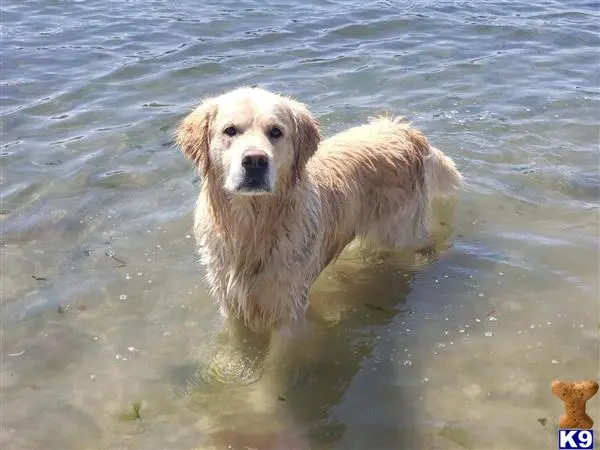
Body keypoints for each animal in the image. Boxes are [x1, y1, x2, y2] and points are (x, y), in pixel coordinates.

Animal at [176, 87, 462, 334]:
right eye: (230, 131)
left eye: (276, 132)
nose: (255, 160)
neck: (251, 224)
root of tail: (404, 130)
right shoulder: (232, 304)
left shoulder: (288, 310)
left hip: (398, 233)